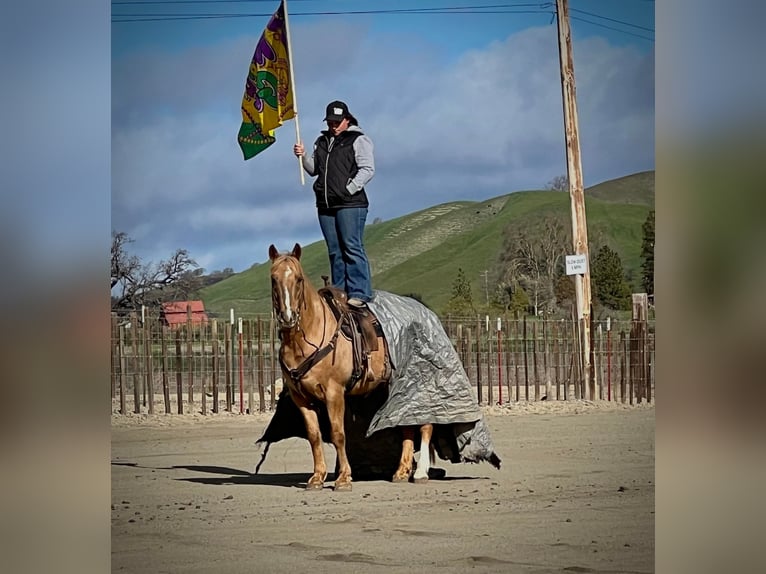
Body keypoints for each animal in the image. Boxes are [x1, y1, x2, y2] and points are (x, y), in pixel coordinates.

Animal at [270, 245, 436, 492]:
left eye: (298, 279)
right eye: (274, 279)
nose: (288, 317)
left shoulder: (334, 393)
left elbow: (338, 434)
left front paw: (344, 478)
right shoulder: (301, 397)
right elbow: (314, 436)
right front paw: (317, 477)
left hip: (418, 385)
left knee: (425, 424)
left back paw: (421, 472)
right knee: (405, 424)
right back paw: (401, 471)